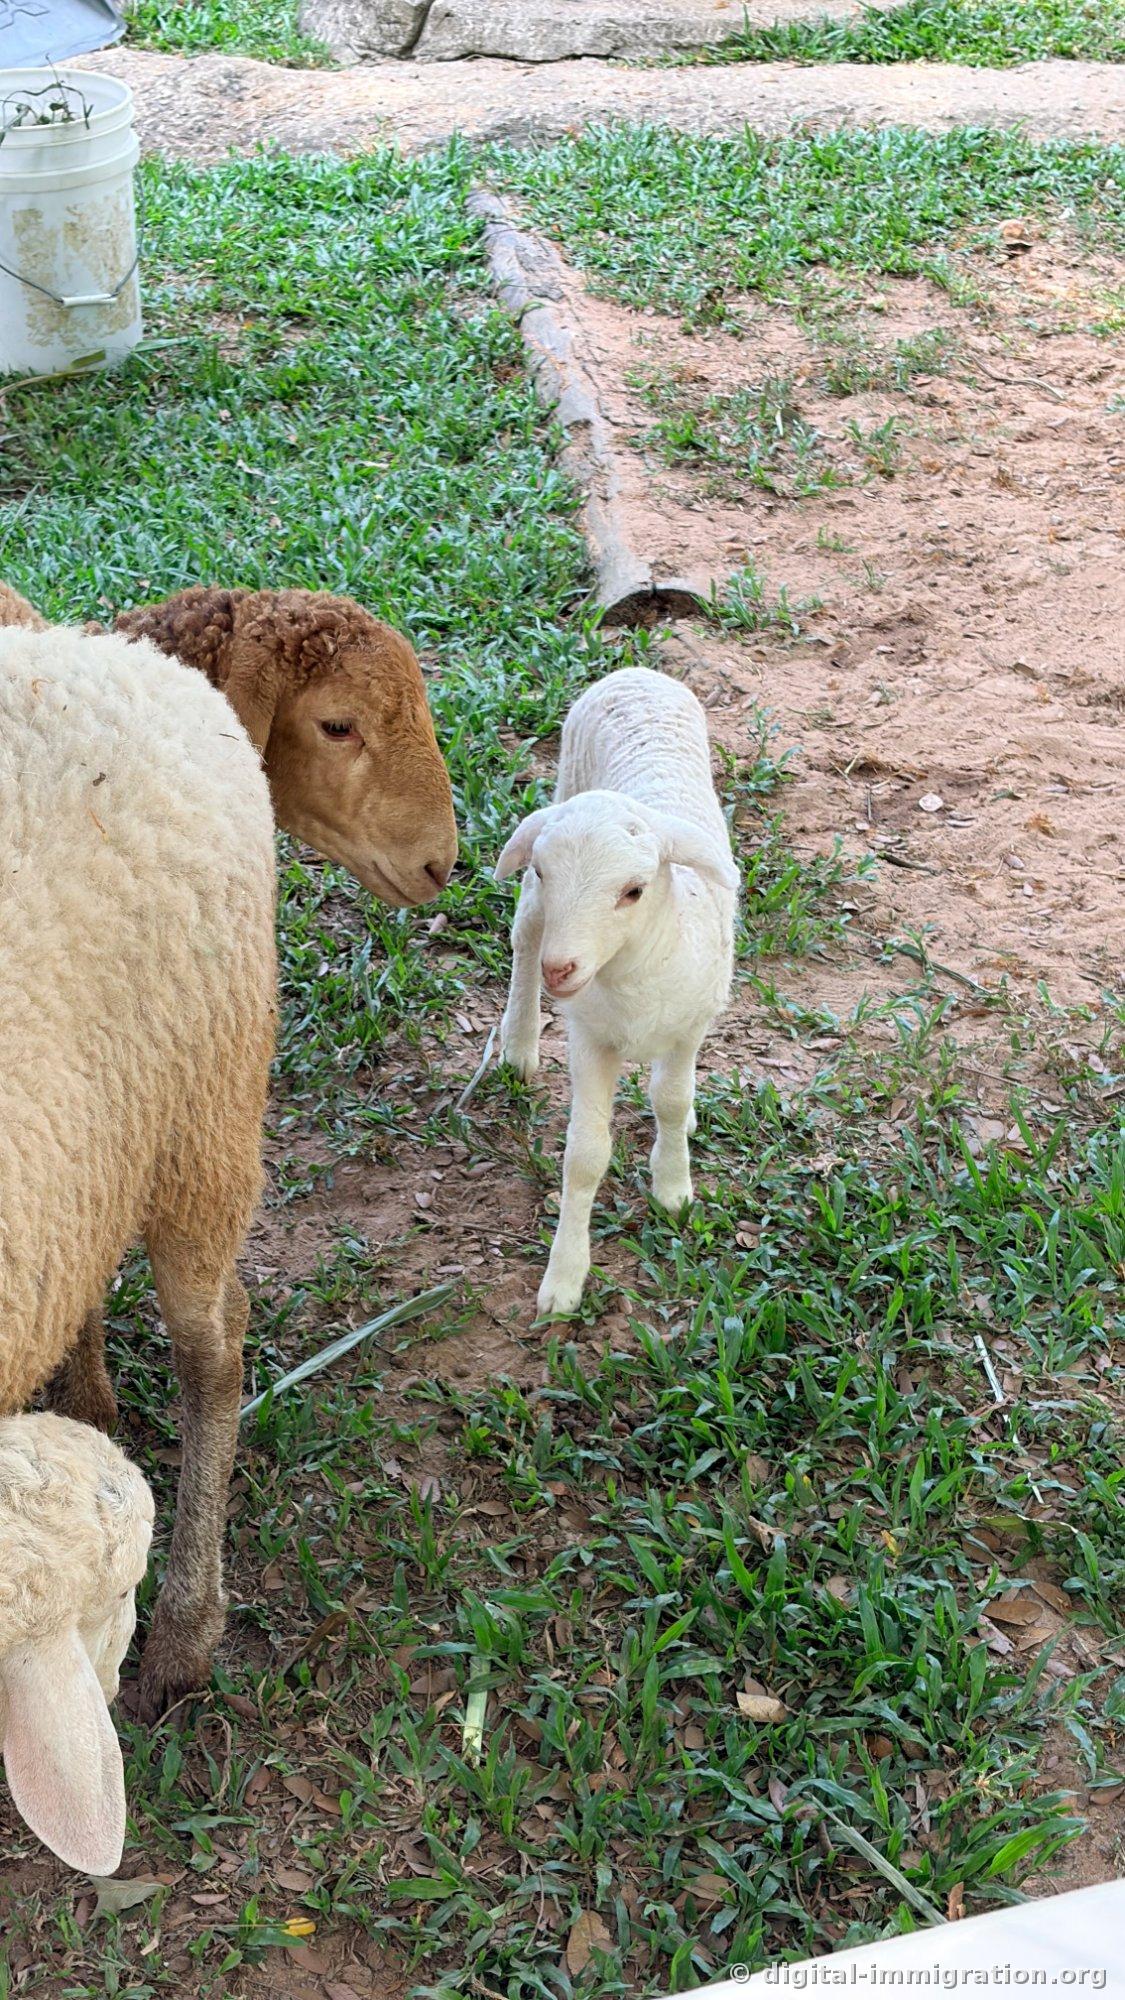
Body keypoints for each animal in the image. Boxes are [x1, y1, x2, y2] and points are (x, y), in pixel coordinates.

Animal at [1, 620, 277, 1719]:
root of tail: (109, 650)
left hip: (203, 1113)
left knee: (216, 1346)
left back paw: (186, 1634)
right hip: (90, 1135)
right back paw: (86, 1398)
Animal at [496, 667, 739, 1317]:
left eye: (633, 891)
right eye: (544, 869)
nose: (562, 968)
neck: (629, 978)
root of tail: (637, 671)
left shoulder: (687, 1028)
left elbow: (671, 1101)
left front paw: (673, 1186)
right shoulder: (588, 1038)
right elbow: (584, 1157)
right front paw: (564, 1278)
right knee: (524, 933)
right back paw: (518, 1043)